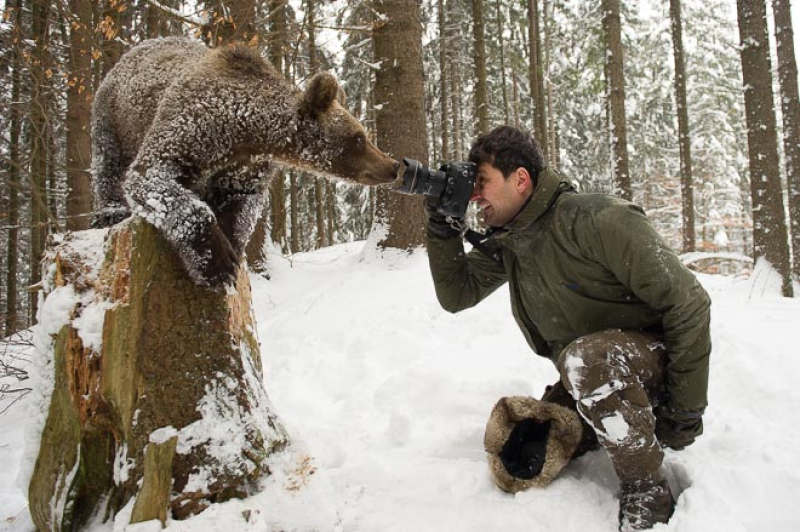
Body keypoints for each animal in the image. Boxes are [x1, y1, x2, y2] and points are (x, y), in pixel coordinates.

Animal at [92, 36, 398, 286]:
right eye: (359, 138)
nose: (392, 166)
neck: (245, 132)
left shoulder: (247, 168)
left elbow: (243, 208)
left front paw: (232, 246)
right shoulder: (190, 127)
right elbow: (152, 175)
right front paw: (216, 263)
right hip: (112, 113)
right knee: (107, 162)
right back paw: (110, 212)